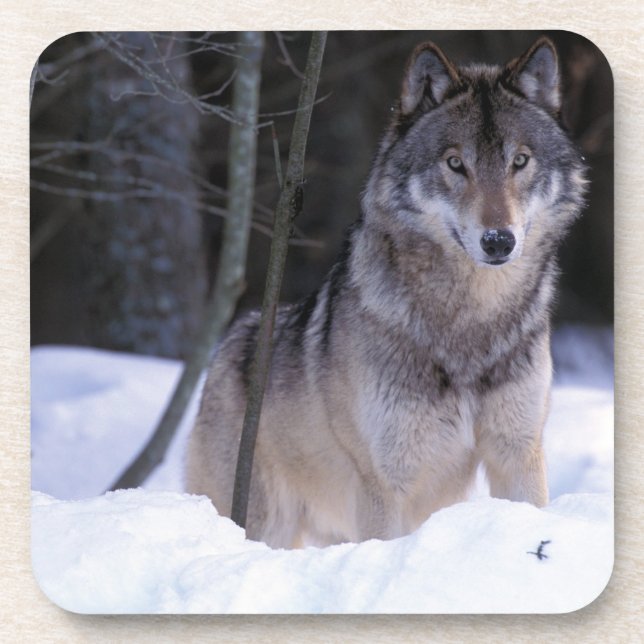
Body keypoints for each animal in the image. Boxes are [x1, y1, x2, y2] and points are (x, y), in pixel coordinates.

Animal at [185, 36, 587, 548]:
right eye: (455, 164)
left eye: (519, 161)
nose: (499, 241)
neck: (470, 323)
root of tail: (229, 343)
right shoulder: (384, 481)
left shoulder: (518, 453)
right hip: (267, 523)